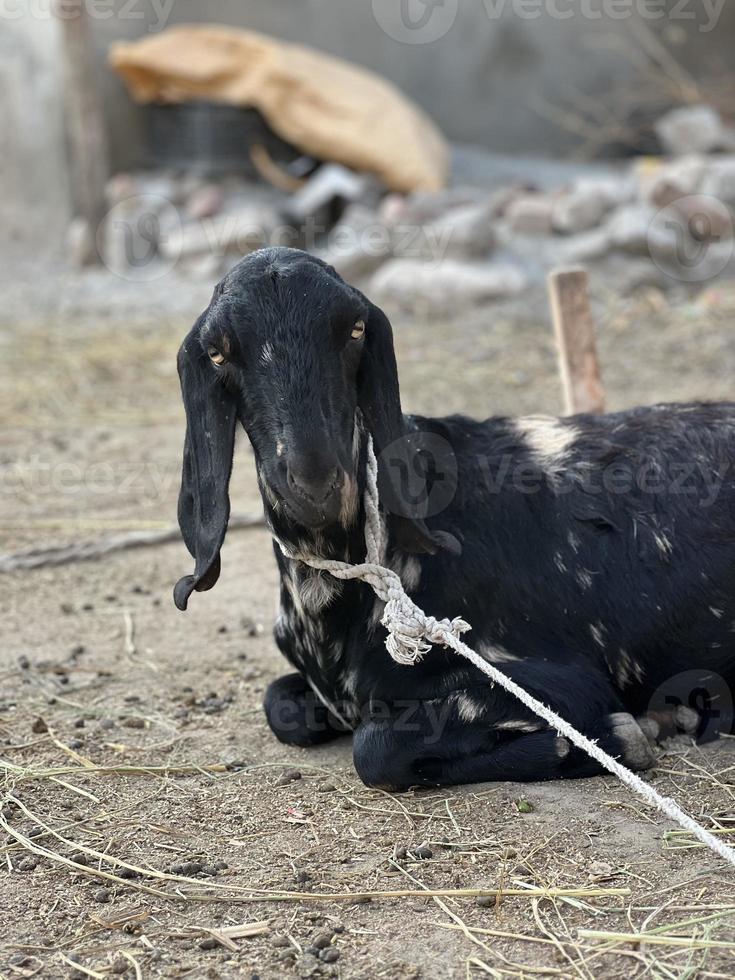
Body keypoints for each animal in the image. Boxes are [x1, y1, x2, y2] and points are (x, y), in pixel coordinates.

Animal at [177, 247, 735, 788]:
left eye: (355, 329)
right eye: (218, 351)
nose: (315, 484)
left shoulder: (560, 681)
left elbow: (375, 747)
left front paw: (619, 738)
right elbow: (282, 707)